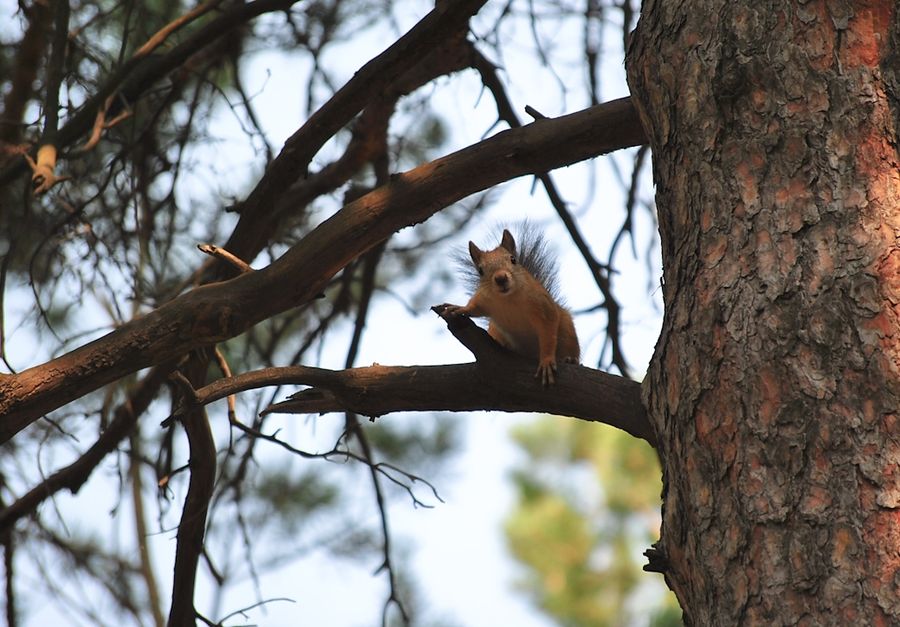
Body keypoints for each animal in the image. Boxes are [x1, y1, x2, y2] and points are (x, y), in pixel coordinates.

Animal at [440, 228, 580, 386]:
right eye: (480, 270)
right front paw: (459, 308)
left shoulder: (543, 307)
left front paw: (547, 361)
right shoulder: (484, 300)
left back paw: (570, 359)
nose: (501, 278)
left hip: (568, 333)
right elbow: (474, 308)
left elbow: (548, 336)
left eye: (513, 259)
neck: (508, 299)